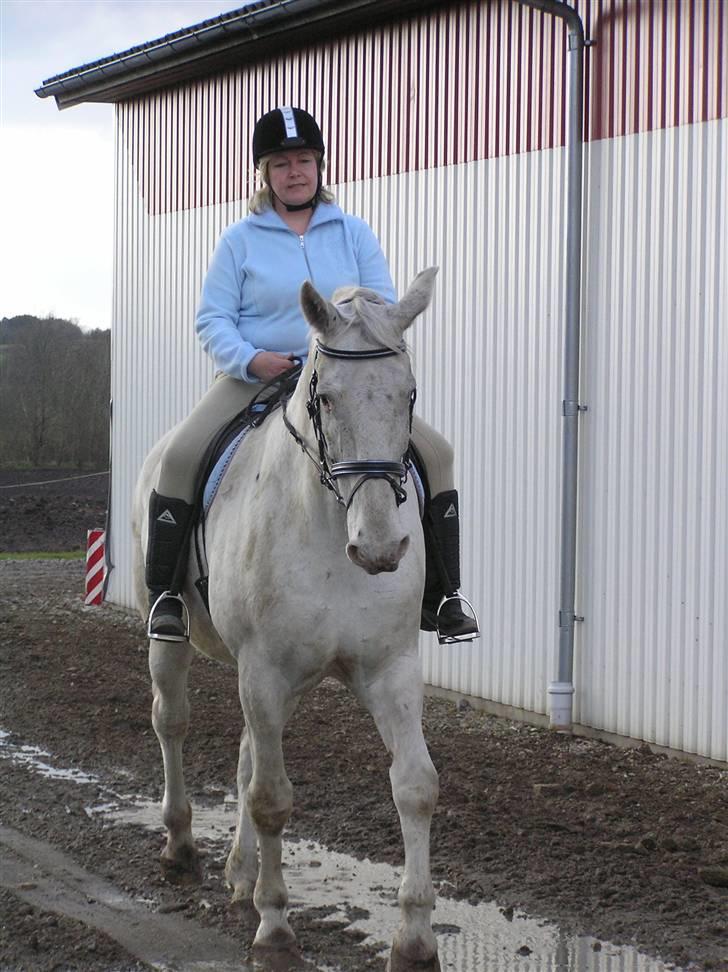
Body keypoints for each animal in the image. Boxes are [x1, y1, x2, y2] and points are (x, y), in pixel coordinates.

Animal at [133, 268, 440, 972]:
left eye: (408, 393)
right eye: (325, 397)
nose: (379, 548)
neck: (329, 531)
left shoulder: (389, 668)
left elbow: (415, 785)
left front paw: (414, 940)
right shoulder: (265, 671)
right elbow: (272, 798)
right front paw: (275, 928)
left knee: (249, 753)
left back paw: (240, 872)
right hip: (179, 646)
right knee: (173, 723)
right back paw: (180, 847)